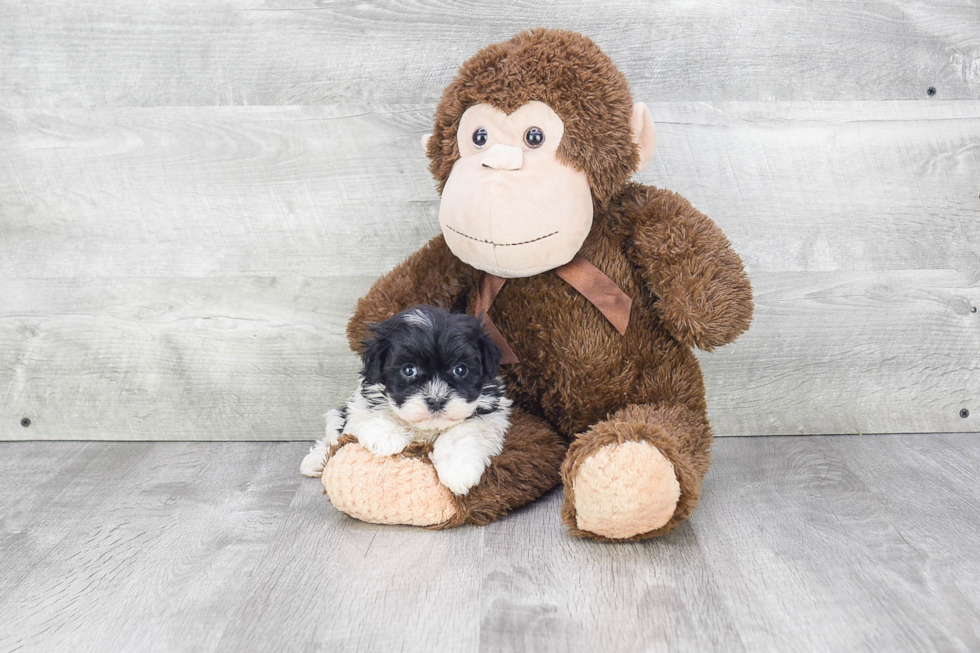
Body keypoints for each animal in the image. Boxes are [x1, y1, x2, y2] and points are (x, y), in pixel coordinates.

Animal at [298, 306, 512, 494]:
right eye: (409, 370)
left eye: (460, 370)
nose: (436, 401)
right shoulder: (364, 399)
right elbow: (378, 411)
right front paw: (385, 436)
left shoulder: (492, 411)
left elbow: (464, 430)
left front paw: (458, 469)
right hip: (336, 416)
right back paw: (316, 461)